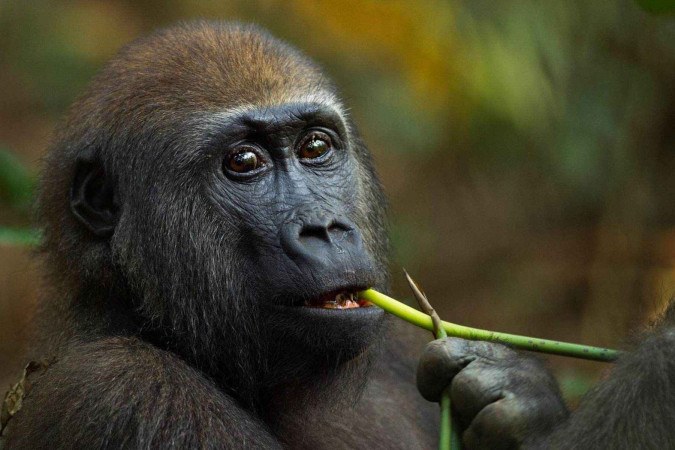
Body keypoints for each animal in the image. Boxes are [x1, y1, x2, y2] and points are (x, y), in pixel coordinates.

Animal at [3, 19, 672, 450]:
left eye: (315, 148)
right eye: (244, 163)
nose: (325, 228)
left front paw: (517, 394)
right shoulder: (122, 392)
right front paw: (665, 357)